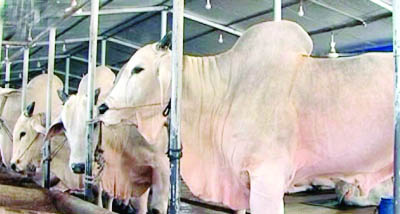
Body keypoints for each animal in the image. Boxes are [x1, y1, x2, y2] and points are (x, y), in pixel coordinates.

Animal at [46, 65, 169, 214]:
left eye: (93, 124)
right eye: (64, 126)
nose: (78, 166)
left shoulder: (159, 167)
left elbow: (153, 207)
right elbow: (103, 194)